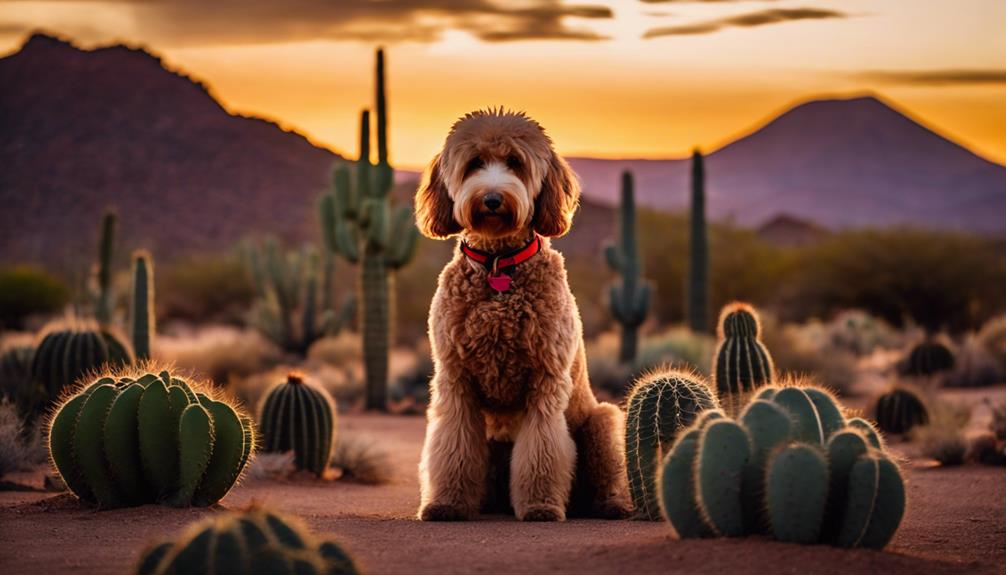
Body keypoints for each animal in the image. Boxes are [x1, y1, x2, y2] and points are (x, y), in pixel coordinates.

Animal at [414, 109, 631, 522]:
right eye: (474, 163)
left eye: (515, 162)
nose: (492, 199)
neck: (499, 262)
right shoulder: (456, 380)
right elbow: (451, 447)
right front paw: (447, 503)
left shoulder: (545, 381)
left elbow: (543, 450)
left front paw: (541, 505)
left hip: (603, 421)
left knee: (608, 473)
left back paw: (614, 504)